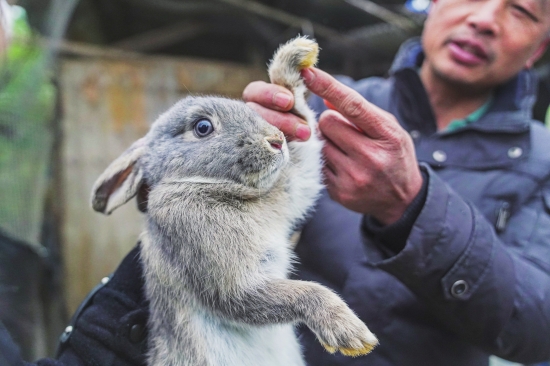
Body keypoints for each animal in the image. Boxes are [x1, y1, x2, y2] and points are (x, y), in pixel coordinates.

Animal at [91, 35, 380, 366]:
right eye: (202, 127)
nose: (277, 141)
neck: (217, 188)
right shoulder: (223, 272)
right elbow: (288, 293)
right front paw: (352, 335)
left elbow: (305, 151)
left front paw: (297, 58)